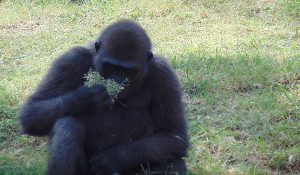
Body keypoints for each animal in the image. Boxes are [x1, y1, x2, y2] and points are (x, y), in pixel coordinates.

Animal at [18, 19, 188, 174]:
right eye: (110, 66)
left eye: (128, 71)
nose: (116, 81)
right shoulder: (72, 59)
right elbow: (31, 113)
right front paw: (86, 100)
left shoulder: (163, 73)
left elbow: (174, 134)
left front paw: (117, 158)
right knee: (67, 125)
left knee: (175, 163)